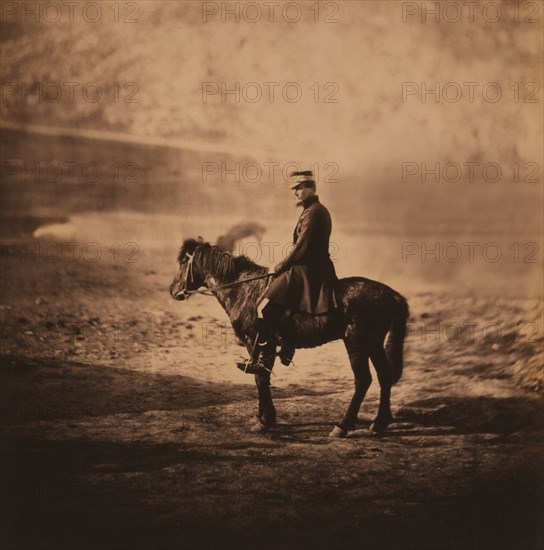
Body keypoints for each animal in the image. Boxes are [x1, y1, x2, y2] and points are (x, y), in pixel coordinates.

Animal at [170, 237, 408, 440]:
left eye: (183, 262)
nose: (173, 290)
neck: (244, 289)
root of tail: (392, 294)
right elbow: (262, 377)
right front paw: (263, 417)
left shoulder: (255, 341)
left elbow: (260, 378)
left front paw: (264, 421)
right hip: (373, 344)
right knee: (384, 376)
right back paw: (379, 423)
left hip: (356, 344)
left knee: (363, 380)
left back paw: (342, 426)